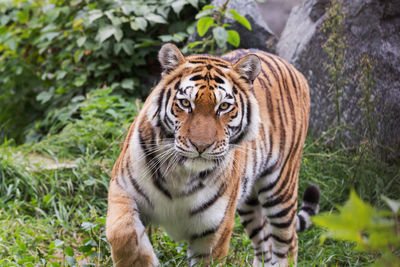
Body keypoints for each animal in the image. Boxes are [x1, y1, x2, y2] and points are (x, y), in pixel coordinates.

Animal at [105, 43, 318, 266]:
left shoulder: (214, 230)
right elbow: (122, 233)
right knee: (264, 243)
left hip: (280, 189)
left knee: (288, 242)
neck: (180, 174)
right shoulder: (123, 189)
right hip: (250, 203)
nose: (201, 146)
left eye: (223, 106)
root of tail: (291, 66)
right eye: (185, 103)